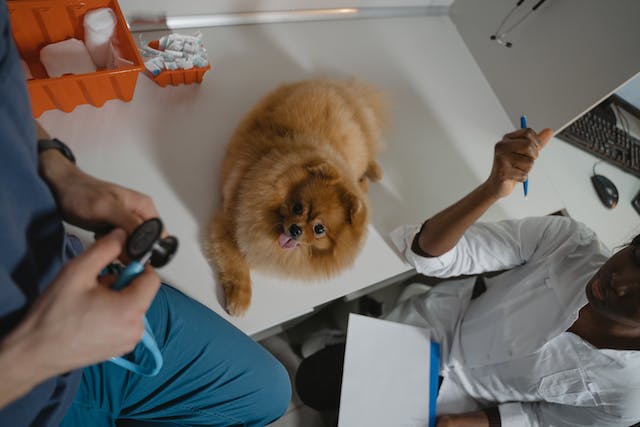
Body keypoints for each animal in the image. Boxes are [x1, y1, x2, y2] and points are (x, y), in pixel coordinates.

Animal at [208, 78, 382, 316]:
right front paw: (240, 299)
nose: (295, 229)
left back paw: (372, 175)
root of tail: (339, 88)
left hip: (359, 148)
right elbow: (237, 264)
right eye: (298, 207)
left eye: (319, 229)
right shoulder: (229, 223)